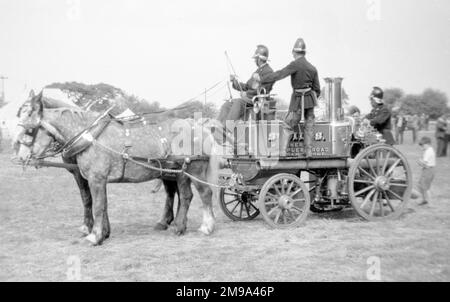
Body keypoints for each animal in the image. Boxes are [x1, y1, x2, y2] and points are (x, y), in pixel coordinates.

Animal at [14, 91, 223, 245]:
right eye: (19, 120)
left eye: (29, 127)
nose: (20, 156)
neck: (89, 137)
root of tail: (199, 126)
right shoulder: (96, 179)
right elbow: (102, 204)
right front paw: (104, 233)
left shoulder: (95, 178)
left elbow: (96, 205)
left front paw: (94, 235)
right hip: (178, 171)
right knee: (184, 195)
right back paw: (178, 226)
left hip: (195, 169)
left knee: (205, 194)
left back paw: (206, 227)